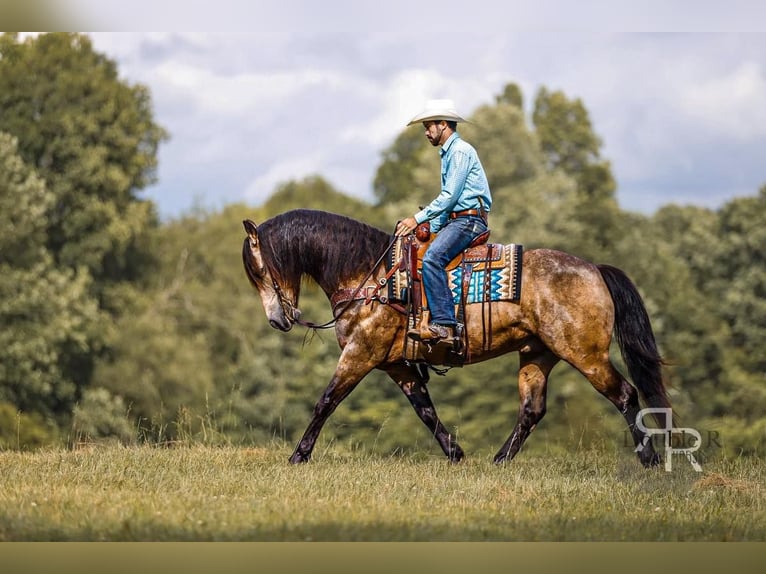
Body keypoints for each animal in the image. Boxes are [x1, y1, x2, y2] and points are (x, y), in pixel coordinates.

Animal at [242, 209, 672, 466]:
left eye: (259, 271)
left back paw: (649, 460)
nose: (277, 321)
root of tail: (594, 269)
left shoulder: (360, 354)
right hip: (538, 354)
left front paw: (298, 456)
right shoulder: (397, 365)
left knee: (625, 394)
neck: (371, 277)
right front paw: (455, 453)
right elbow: (425, 410)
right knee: (531, 410)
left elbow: (325, 402)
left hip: (586, 354)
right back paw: (498, 461)